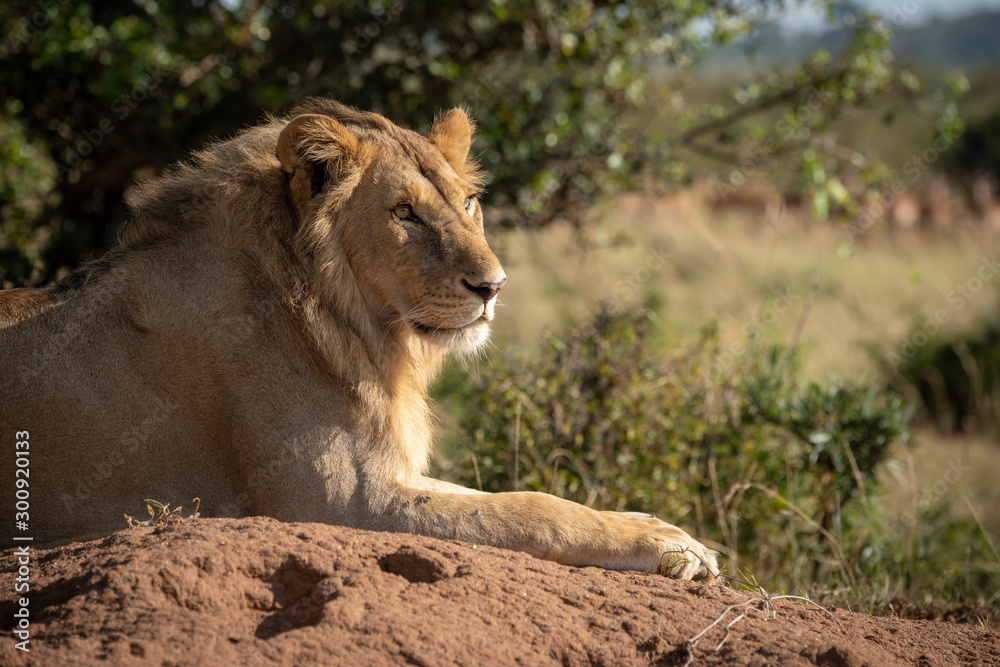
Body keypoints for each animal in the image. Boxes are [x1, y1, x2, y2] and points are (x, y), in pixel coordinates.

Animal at [0, 99, 717, 581]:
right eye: (404, 213)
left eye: (468, 203)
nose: (493, 286)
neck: (362, 330)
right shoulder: (335, 502)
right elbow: (530, 511)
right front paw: (670, 549)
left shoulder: (392, 469)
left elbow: (506, 498)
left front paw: (666, 531)